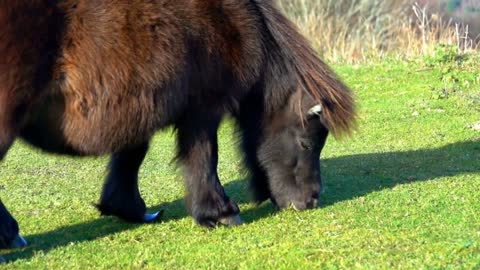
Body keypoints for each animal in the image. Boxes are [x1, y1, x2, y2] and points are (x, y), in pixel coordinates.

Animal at [0, 0, 354, 249]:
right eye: (307, 143)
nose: (310, 201)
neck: (230, 23)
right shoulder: (202, 111)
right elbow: (203, 158)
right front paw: (220, 212)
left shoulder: (137, 106)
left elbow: (130, 158)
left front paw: (128, 208)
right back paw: (11, 235)